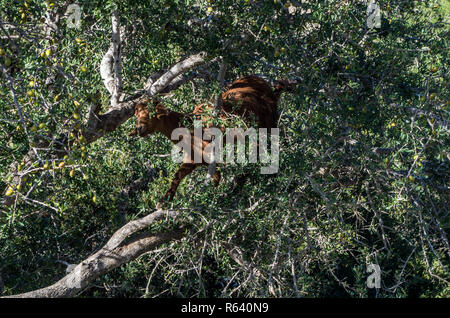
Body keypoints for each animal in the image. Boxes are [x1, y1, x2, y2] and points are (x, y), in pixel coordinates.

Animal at [128, 75, 294, 207]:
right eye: (137, 115)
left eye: (151, 113)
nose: (139, 128)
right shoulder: (194, 158)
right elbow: (178, 175)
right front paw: (164, 200)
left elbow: (218, 176)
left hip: (267, 122)